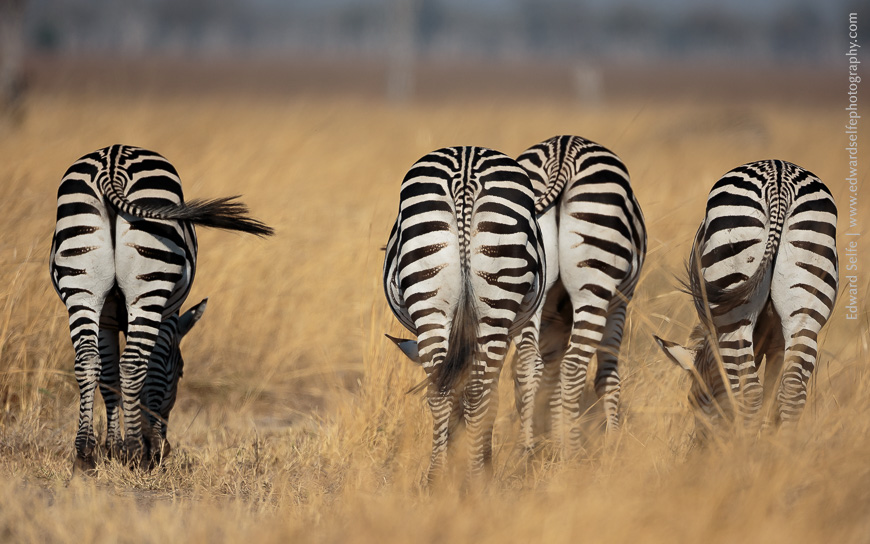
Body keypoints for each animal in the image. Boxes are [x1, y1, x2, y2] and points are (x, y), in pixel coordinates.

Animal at [50, 144, 273, 471]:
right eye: (180, 372)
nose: (166, 446)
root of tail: (112, 164)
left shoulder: (106, 318)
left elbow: (109, 378)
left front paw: (111, 447)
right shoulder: (169, 314)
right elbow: (152, 371)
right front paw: (147, 447)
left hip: (82, 285)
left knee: (87, 361)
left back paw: (84, 453)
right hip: (151, 284)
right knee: (132, 364)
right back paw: (135, 452)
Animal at [383, 146, 546, 483]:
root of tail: (467, 169)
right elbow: (489, 394)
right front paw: (478, 460)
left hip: (431, 302)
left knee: (441, 390)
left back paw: (437, 478)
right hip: (493, 307)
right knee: (477, 393)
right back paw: (475, 478)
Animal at [511, 135, 646, 455]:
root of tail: (562, 152)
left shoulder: (553, 315)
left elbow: (551, 375)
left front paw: (553, 435)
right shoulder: (620, 302)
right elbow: (608, 376)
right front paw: (613, 443)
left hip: (530, 291)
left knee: (529, 362)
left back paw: (526, 448)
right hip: (594, 286)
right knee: (573, 366)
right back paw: (573, 453)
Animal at [654, 160, 838, 434]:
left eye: (693, 401)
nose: (700, 443)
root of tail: (779, 179)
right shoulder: (776, 343)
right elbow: (773, 393)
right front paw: (769, 435)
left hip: (735, 311)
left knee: (749, 392)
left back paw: (745, 445)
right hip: (806, 307)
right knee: (792, 390)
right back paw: (783, 445)